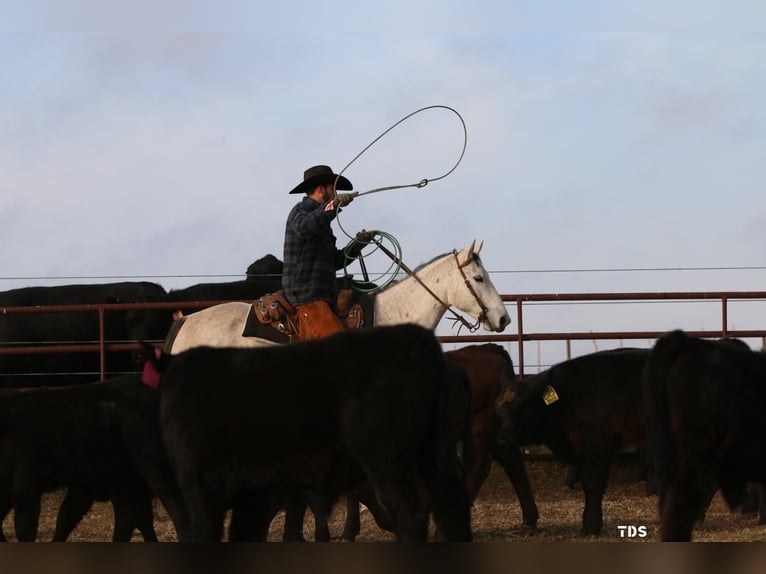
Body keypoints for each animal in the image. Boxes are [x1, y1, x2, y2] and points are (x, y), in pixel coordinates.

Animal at [152, 324, 474, 544]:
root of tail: (412, 335)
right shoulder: (252, 491)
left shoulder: (203, 483)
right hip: (430, 453)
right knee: (450, 503)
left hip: (387, 458)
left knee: (413, 507)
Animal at [496, 348, 652, 536]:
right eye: (500, 412)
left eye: (522, 408)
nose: (502, 440)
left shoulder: (600, 443)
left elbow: (592, 483)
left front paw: (591, 527)